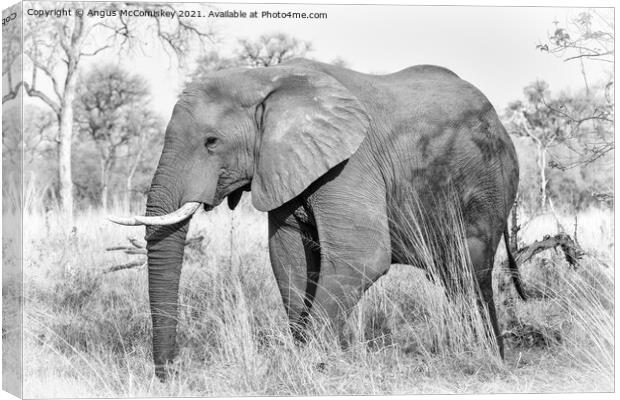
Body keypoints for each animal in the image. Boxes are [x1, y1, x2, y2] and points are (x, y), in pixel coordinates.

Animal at [109, 57, 524, 378]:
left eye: (211, 142)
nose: (169, 373)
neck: (266, 78)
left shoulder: (352, 162)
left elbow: (363, 255)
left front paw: (309, 364)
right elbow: (288, 259)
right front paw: (307, 359)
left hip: (488, 186)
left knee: (468, 273)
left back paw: (483, 357)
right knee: (454, 277)